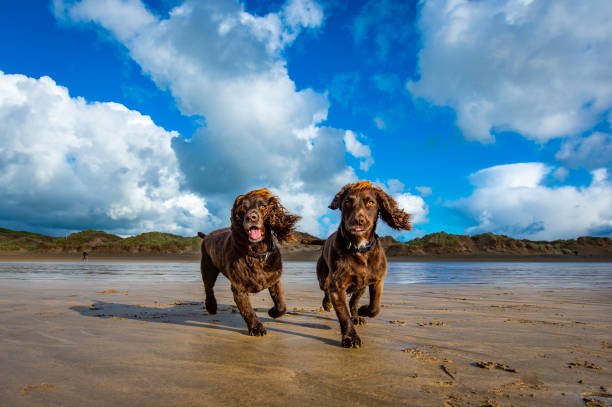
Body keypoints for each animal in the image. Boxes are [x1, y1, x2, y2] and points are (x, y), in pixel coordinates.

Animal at [197, 190, 300, 336]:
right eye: (243, 209)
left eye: (263, 206)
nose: (251, 217)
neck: (257, 254)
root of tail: (207, 236)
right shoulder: (238, 288)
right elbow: (247, 310)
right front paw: (256, 328)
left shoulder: (275, 280)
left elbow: (281, 305)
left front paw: (272, 312)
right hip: (208, 269)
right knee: (208, 288)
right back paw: (211, 306)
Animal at [316, 183, 412, 350]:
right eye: (348, 202)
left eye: (370, 203)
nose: (358, 220)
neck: (359, 248)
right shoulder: (337, 286)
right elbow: (343, 314)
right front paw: (350, 338)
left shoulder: (377, 280)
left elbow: (375, 307)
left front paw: (363, 311)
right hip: (323, 278)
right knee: (326, 289)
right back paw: (327, 304)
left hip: (361, 287)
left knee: (353, 302)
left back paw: (357, 316)